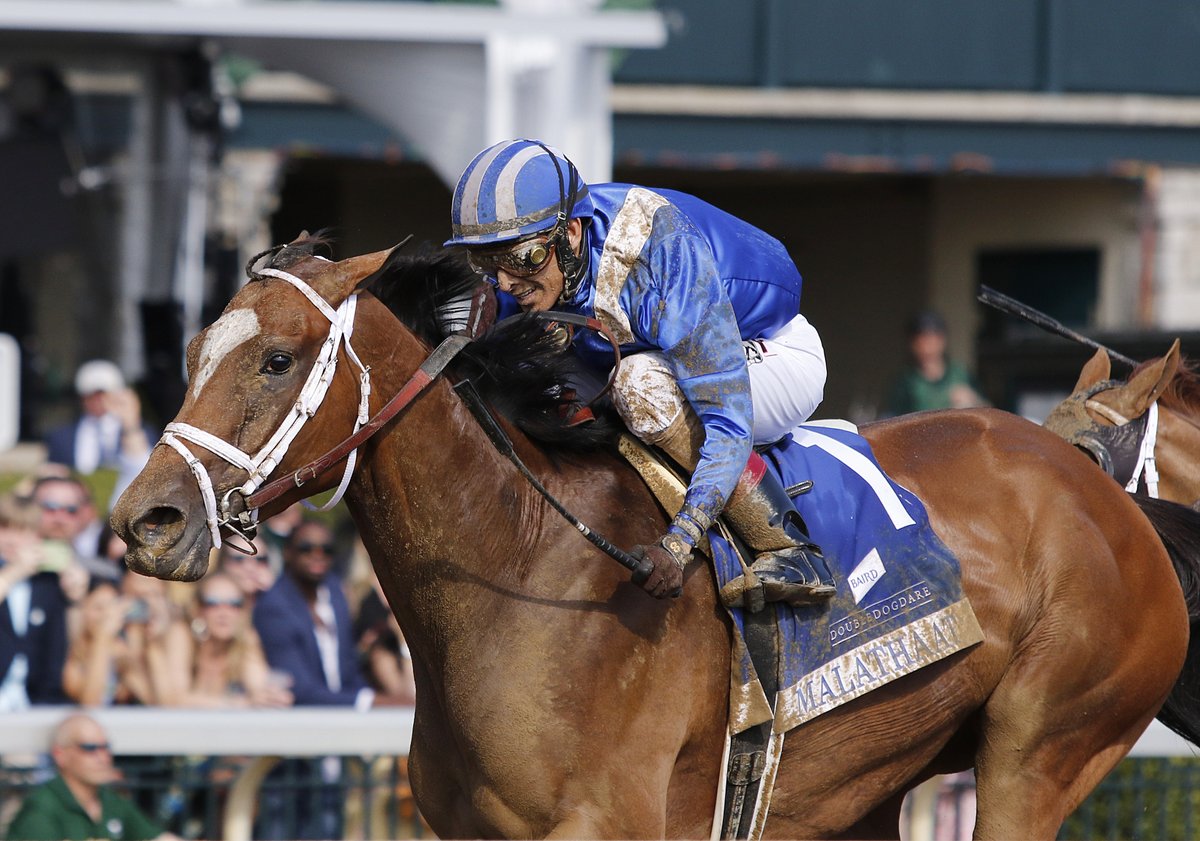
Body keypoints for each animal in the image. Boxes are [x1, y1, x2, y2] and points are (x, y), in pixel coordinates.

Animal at [112, 239, 1200, 835]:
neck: (521, 565)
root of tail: (1108, 501)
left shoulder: (604, 820)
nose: (146, 520)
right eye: (192, 349)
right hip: (857, 792)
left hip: (1041, 748)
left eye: (278, 358)